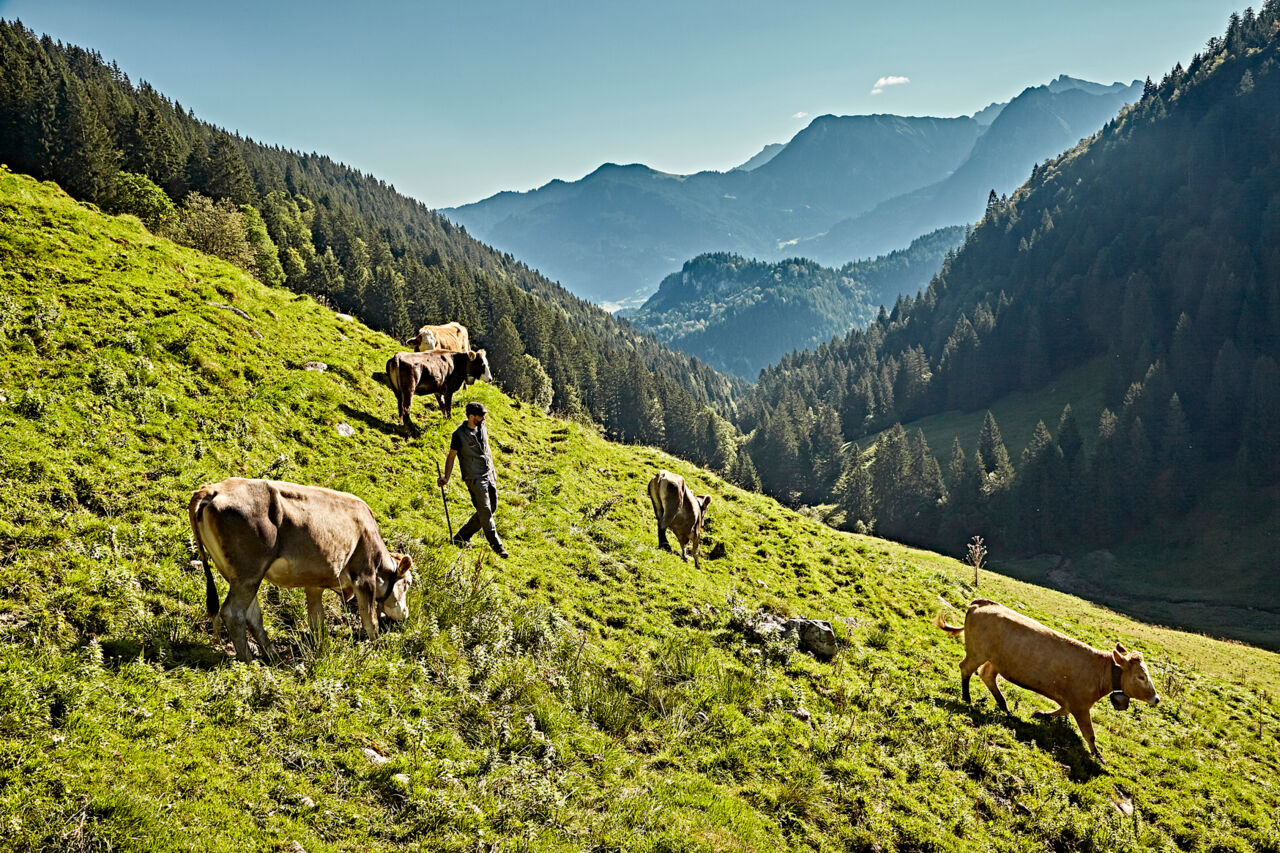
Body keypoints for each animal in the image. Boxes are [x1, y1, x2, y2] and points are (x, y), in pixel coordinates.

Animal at [186, 473, 409, 660]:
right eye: (407, 583)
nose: (405, 613)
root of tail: (213, 489)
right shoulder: (364, 576)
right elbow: (370, 620)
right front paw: (377, 650)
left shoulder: (315, 584)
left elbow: (317, 621)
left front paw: (321, 649)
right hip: (248, 572)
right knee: (233, 612)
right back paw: (248, 661)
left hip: (237, 574)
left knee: (252, 614)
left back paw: (272, 655)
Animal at [931, 594, 1162, 758]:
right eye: (1141, 676)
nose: (1156, 698)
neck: (1099, 670)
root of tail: (981, 603)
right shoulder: (1080, 705)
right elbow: (1089, 733)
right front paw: (1098, 756)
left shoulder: (1072, 702)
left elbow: (1061, 711)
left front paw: (1040, 714)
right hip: (977, 652)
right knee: (966, 668)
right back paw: (967, 698)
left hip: (996, 660)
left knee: (986, 675)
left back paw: (1004, 707)